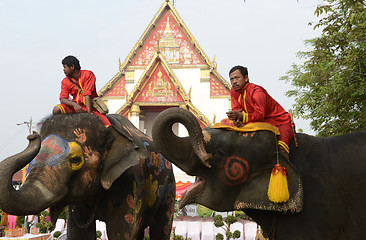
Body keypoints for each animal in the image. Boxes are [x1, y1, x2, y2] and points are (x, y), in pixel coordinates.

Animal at [0, 113, 176, 240]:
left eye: (75, 160)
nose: (32, 136)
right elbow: (79, 233)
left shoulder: (131, 181)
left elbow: (122, 230)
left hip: (169, 189)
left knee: (162, 227)